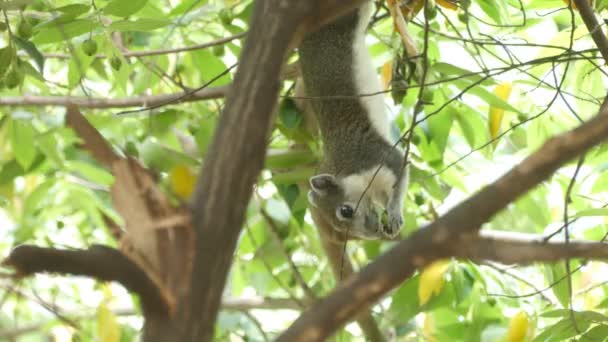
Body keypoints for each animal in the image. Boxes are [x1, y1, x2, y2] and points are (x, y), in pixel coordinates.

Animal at [296, 1, 406, 239]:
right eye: (339, 228)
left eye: (345, 210)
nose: (374, 232)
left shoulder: (373, 155)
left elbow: (400, 172)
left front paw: (394, 212)